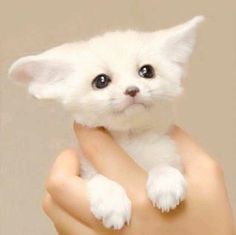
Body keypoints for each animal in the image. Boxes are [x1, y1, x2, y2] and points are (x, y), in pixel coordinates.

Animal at [9, 16, 204, 229]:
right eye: (101, 81)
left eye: (147, 71)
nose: (132, 90)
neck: (130, 140)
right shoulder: (85, 172)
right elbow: (100, 179)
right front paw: (112, 202)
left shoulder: (171, 156)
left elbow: (164, 165)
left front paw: (166, 181)